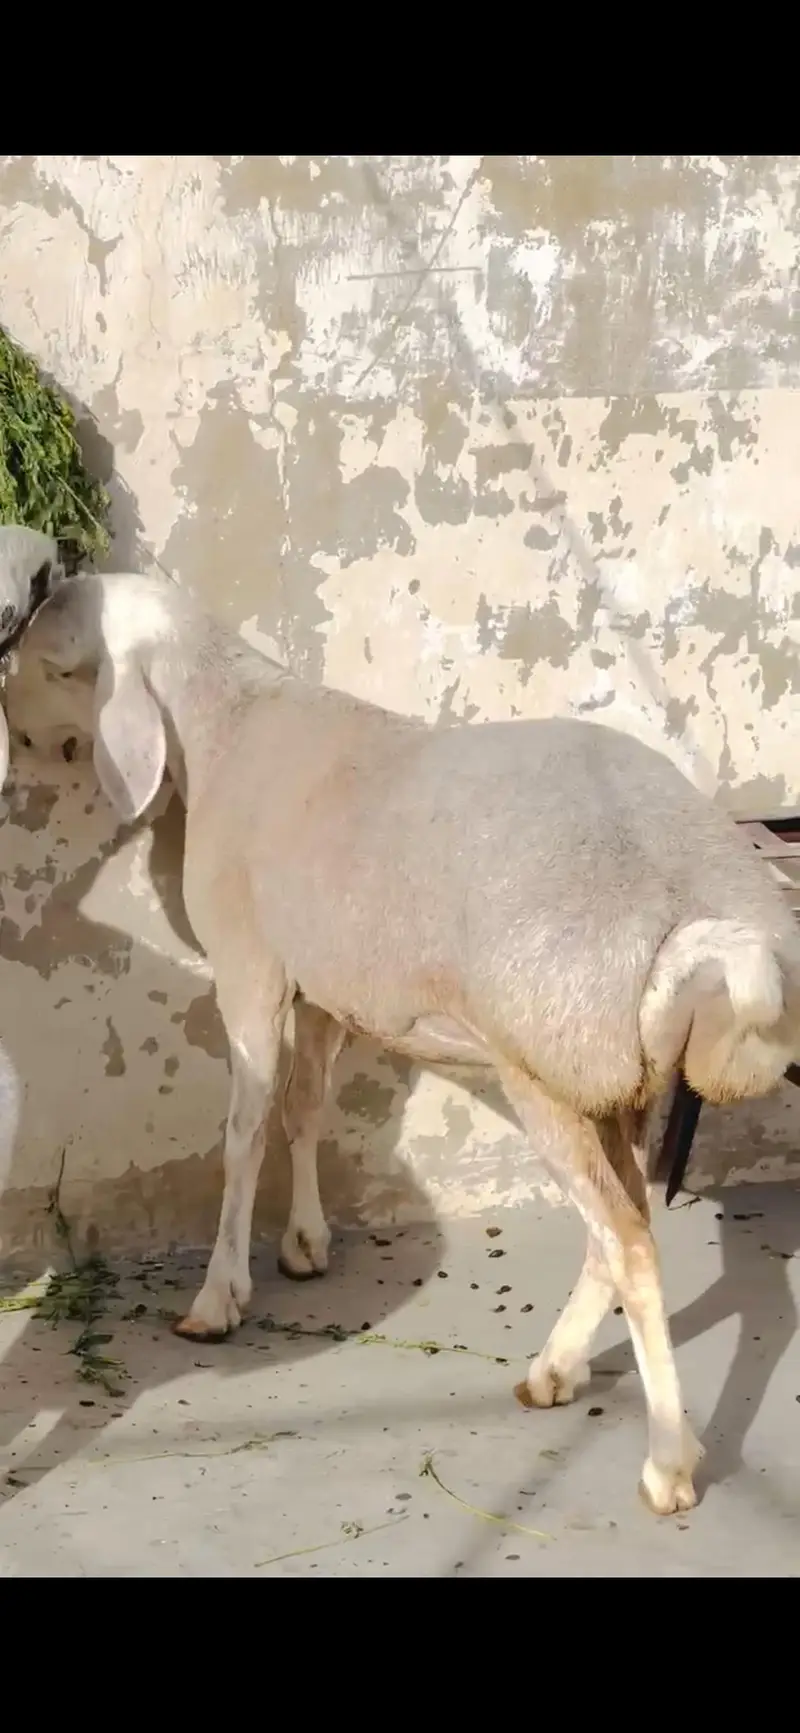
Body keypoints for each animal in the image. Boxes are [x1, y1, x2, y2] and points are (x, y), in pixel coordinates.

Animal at [8, 568, 800, 1518]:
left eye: (52, 665)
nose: (14, 729)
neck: (224, 720)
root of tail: (714, 911)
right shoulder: (321, 982)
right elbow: (303, 1109)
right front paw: (305, 1245)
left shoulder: (249, 964)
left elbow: (242, 1133)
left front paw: (218, 1297)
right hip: (615, 1076)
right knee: (619, 1233)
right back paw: (554, 1370)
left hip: (547, 1059)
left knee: (633, 1248)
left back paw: (668, 1464)